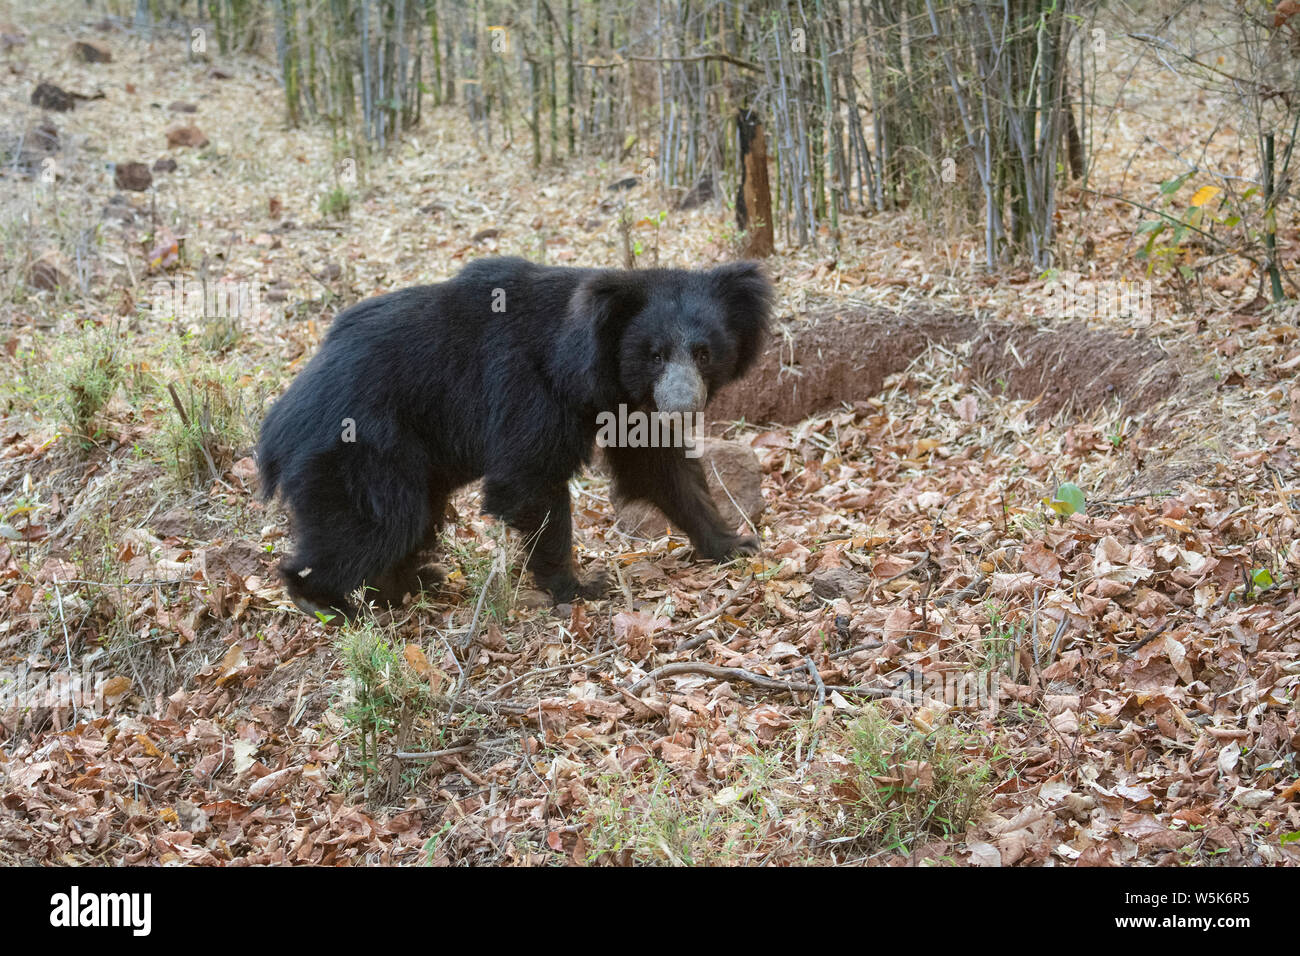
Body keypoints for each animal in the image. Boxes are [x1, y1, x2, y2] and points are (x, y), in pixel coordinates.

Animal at [258, 254, 774, 616]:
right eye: (656, 355)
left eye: (704, 354)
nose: (682, 405)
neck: (586, 359)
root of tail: (278, 424)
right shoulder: (529, 388)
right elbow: (529, 479)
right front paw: (579, 587)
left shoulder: (623, 401)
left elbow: (660, 469)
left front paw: (734, 545)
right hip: (359, 451)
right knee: (377, 524)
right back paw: (322, 599)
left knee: (408, 520)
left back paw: (412, 583)